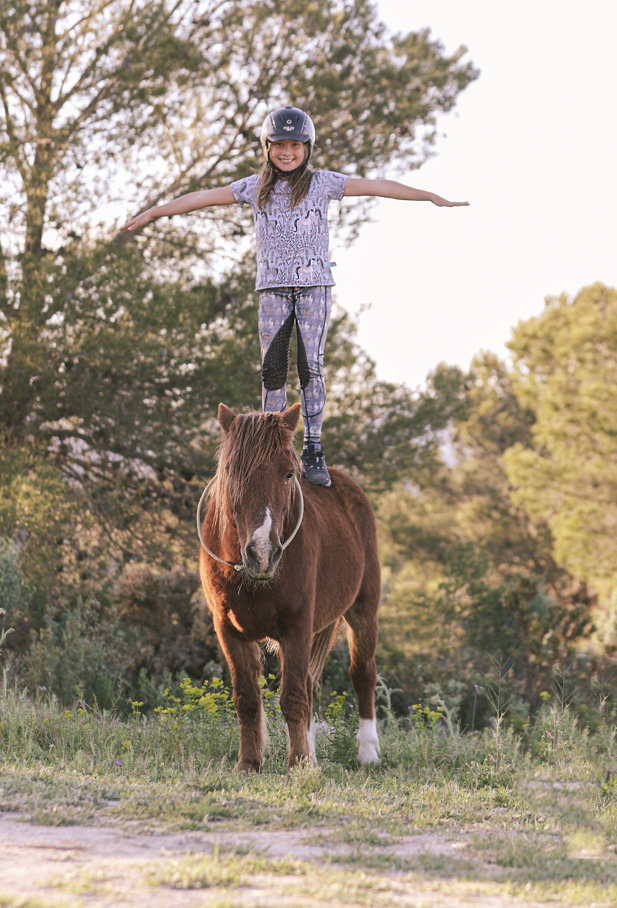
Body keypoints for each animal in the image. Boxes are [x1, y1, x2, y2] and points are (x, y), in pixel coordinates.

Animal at [198, 403, 381, 773]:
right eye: (231, 471)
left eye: (287, 474)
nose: (262, 553)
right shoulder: (228, 630)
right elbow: (247, 698)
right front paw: (249, 763)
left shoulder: (297, 625)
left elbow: (293, 697)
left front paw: (298, 764)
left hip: (364, 610)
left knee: (362, 673)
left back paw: (368, 752)